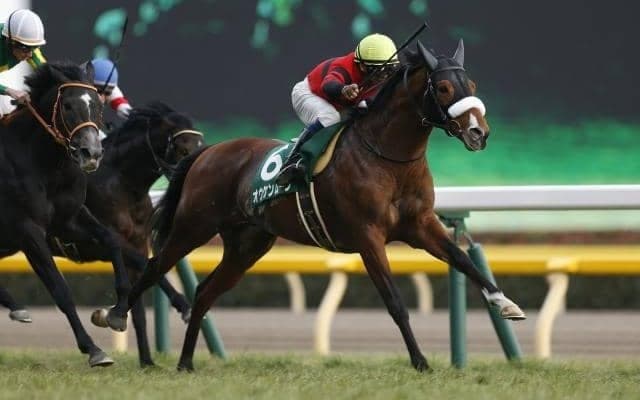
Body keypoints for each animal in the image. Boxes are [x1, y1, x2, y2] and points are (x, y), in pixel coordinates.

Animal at [0, 62, 115, 366]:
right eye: (67, 105)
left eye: (97, 104)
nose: (91, 152)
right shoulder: (28, 229)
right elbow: (60, 290)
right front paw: (93, 349)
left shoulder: (68, 220)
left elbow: (111, 240)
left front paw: (116, 313)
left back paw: (16, 307)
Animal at [97, 40, 526, 371]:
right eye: (444, 88)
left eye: (471, 83)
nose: (479, 132)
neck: (388, 157)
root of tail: (207, 152)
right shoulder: (368, 236)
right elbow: (395, 302)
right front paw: (420, 362)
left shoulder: (420, 225)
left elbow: (464, 260)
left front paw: (505, 304)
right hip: (193, 225)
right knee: (154, 266)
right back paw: (114, 315)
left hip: (247, 244)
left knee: (204, 291)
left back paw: (186, 362)